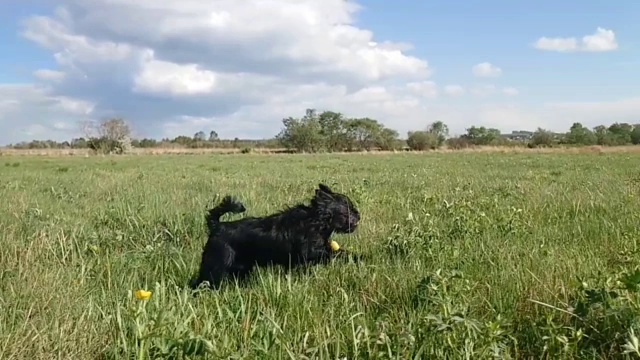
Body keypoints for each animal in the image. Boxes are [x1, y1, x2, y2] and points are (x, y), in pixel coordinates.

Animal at [189, 183, 360, 290]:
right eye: (349, 208)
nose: (358, 214)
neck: (316, 219)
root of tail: (217, 226)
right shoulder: (311, 252)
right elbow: (337, 253)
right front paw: (357, 256)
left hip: (240, 268)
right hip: (216, 266)